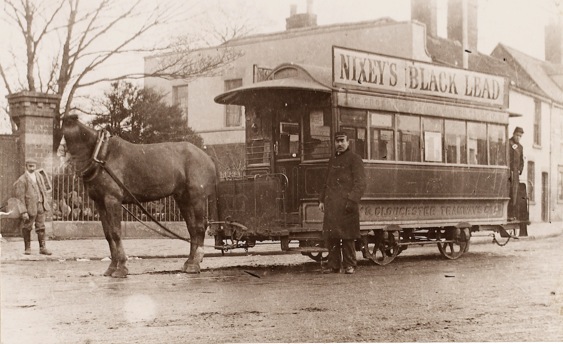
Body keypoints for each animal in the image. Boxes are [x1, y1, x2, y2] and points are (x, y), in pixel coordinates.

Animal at [62, 115, 218, 276]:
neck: (101, 154)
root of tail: (207, 157)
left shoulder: (112, 200)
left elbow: (116, 232)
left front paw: (121, 268)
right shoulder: (100, 202)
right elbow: (108, 234)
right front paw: (112, 267)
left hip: (197, 198)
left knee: (200, 227)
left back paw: (195, 262)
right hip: (183, 199)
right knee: (192, 229)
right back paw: (190, 263)